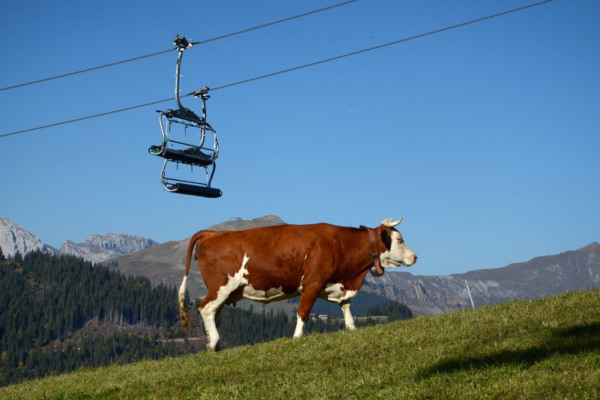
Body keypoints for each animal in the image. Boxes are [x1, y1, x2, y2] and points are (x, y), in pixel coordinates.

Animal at [178, 217, 418, 352]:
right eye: (399, 239)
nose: (415, 257)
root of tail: (211, 233)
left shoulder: (337, 285)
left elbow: (347, 308)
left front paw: (352, 329)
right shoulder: (313, 283)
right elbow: (303, 312)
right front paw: (297, 338)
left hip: (225, 292)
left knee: (212, 312)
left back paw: (214, 342)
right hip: (220, 287)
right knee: (205, 307)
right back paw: (213, 343)